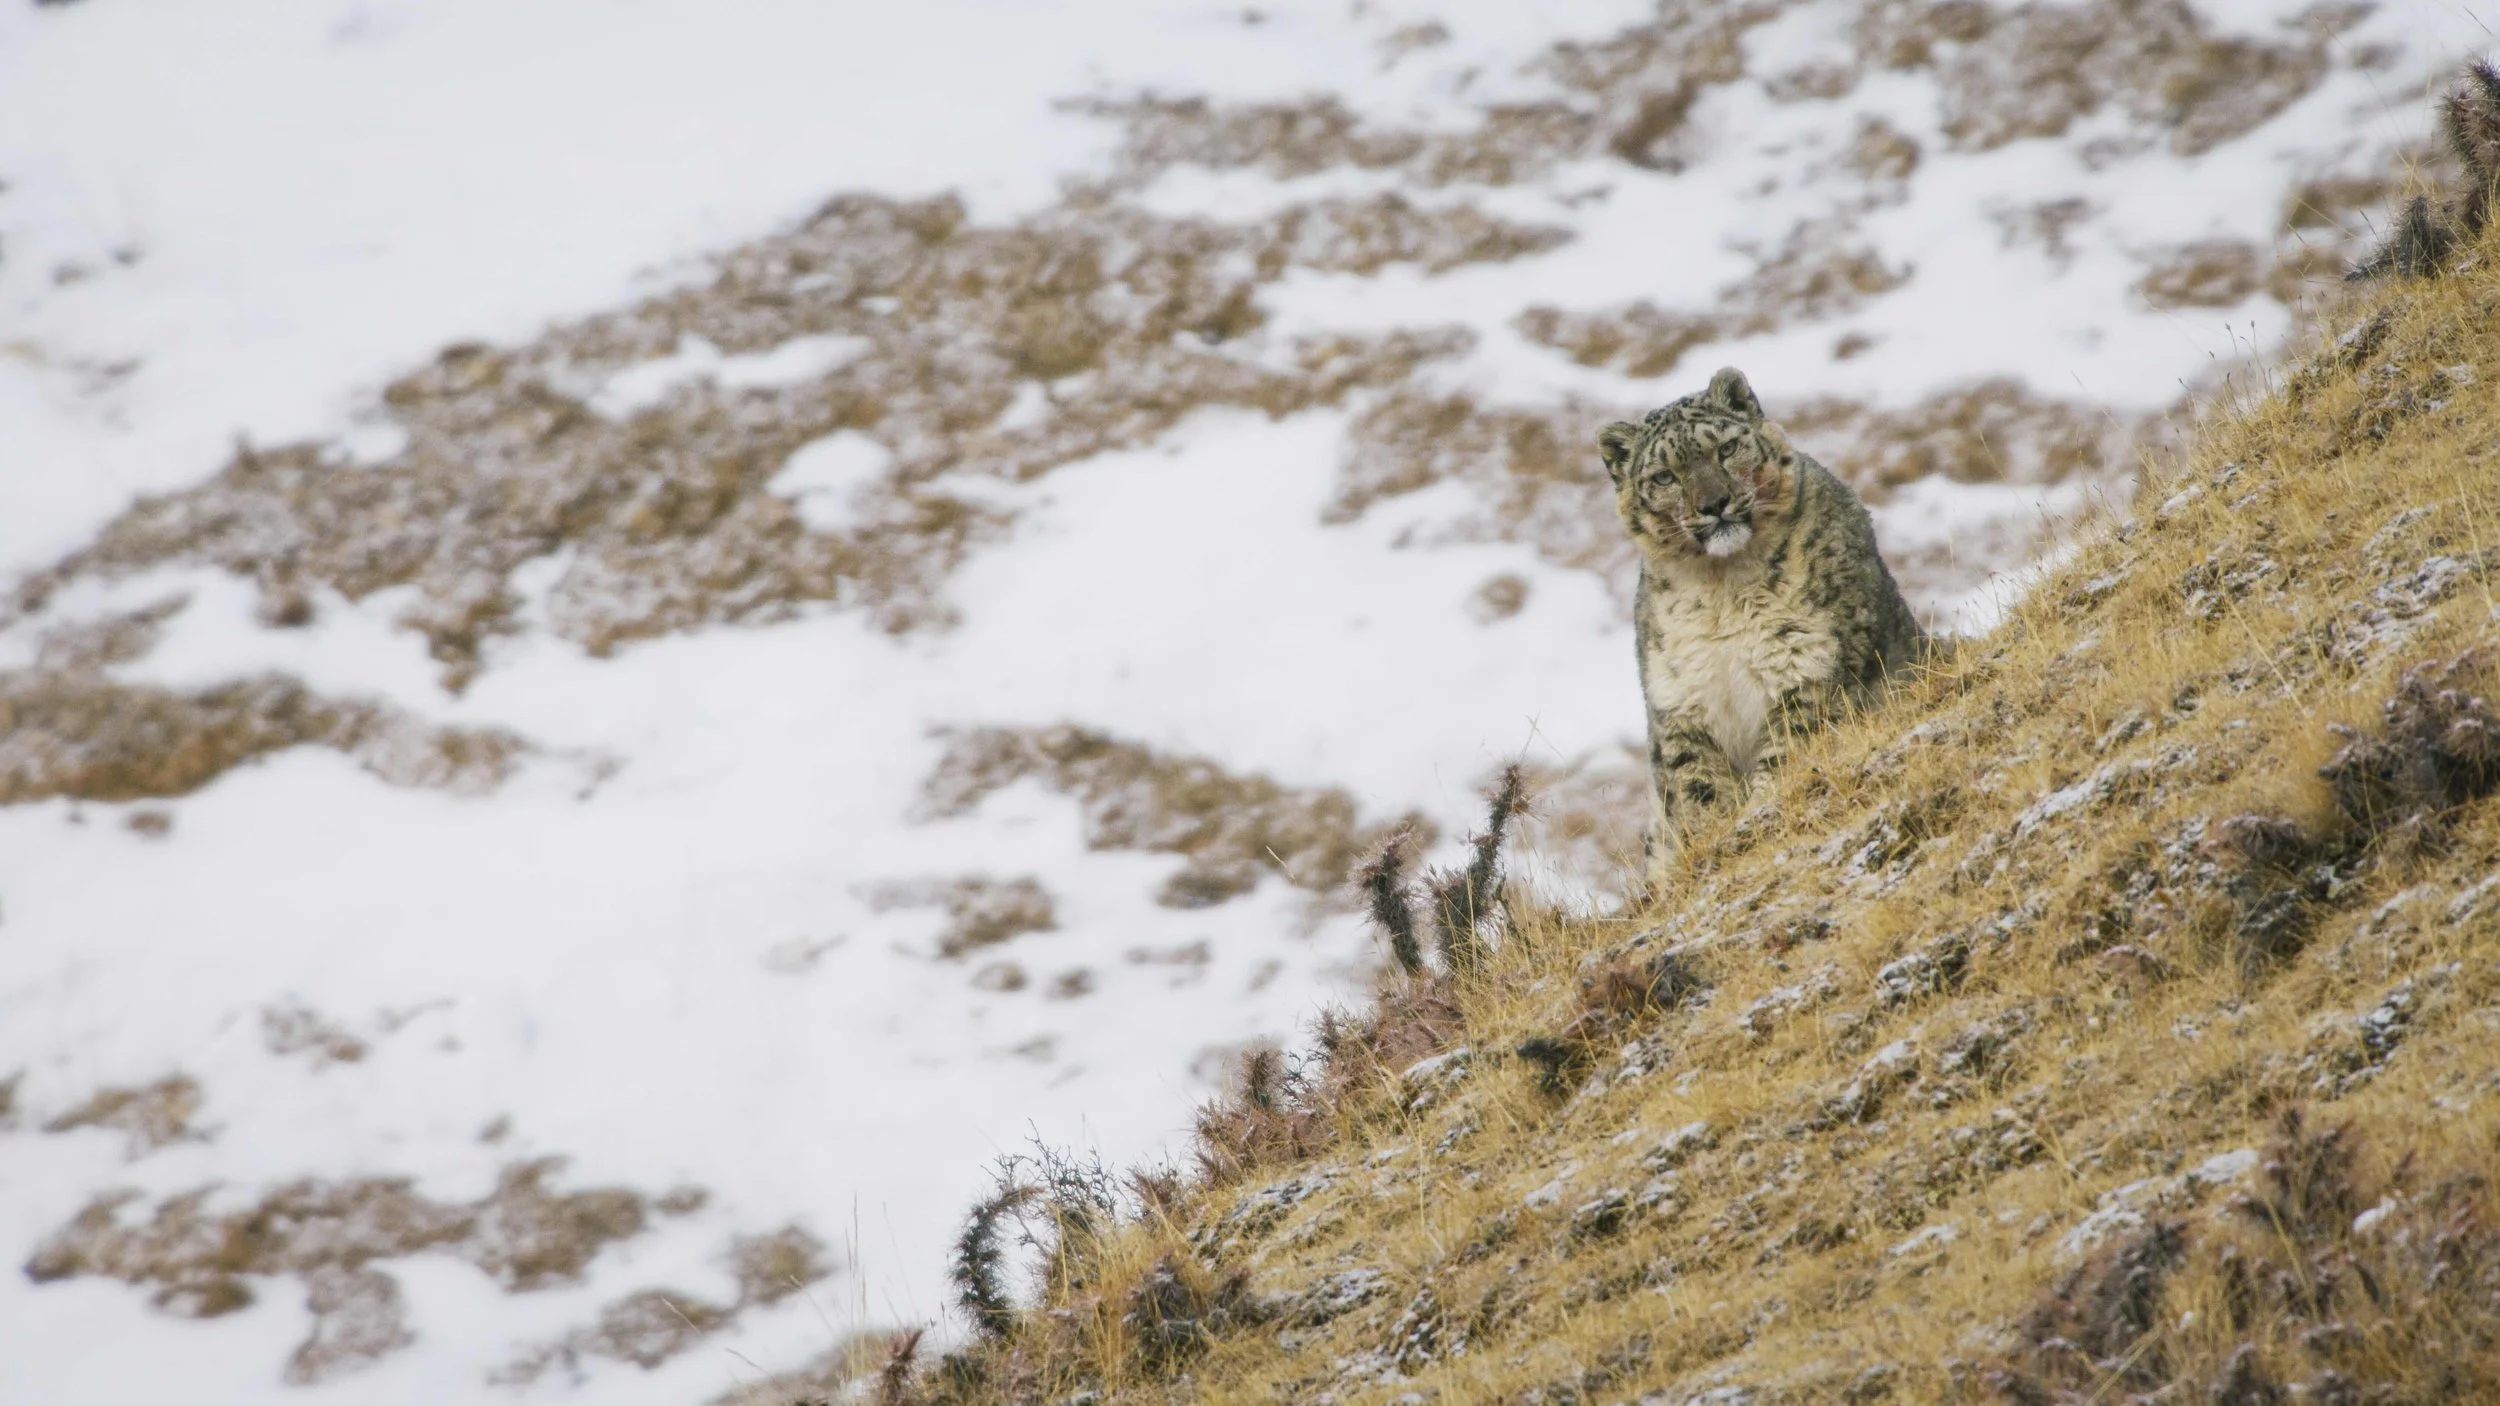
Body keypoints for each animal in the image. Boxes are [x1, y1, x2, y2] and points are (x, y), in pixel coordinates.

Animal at [1599, 366, 1926, 892]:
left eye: (1726, 449)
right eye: (1664, 476)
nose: (1714, 503)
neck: (1722, 590)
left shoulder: (1808, 668)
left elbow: (1787, 754)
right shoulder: (1681, 703)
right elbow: (1697, 792)